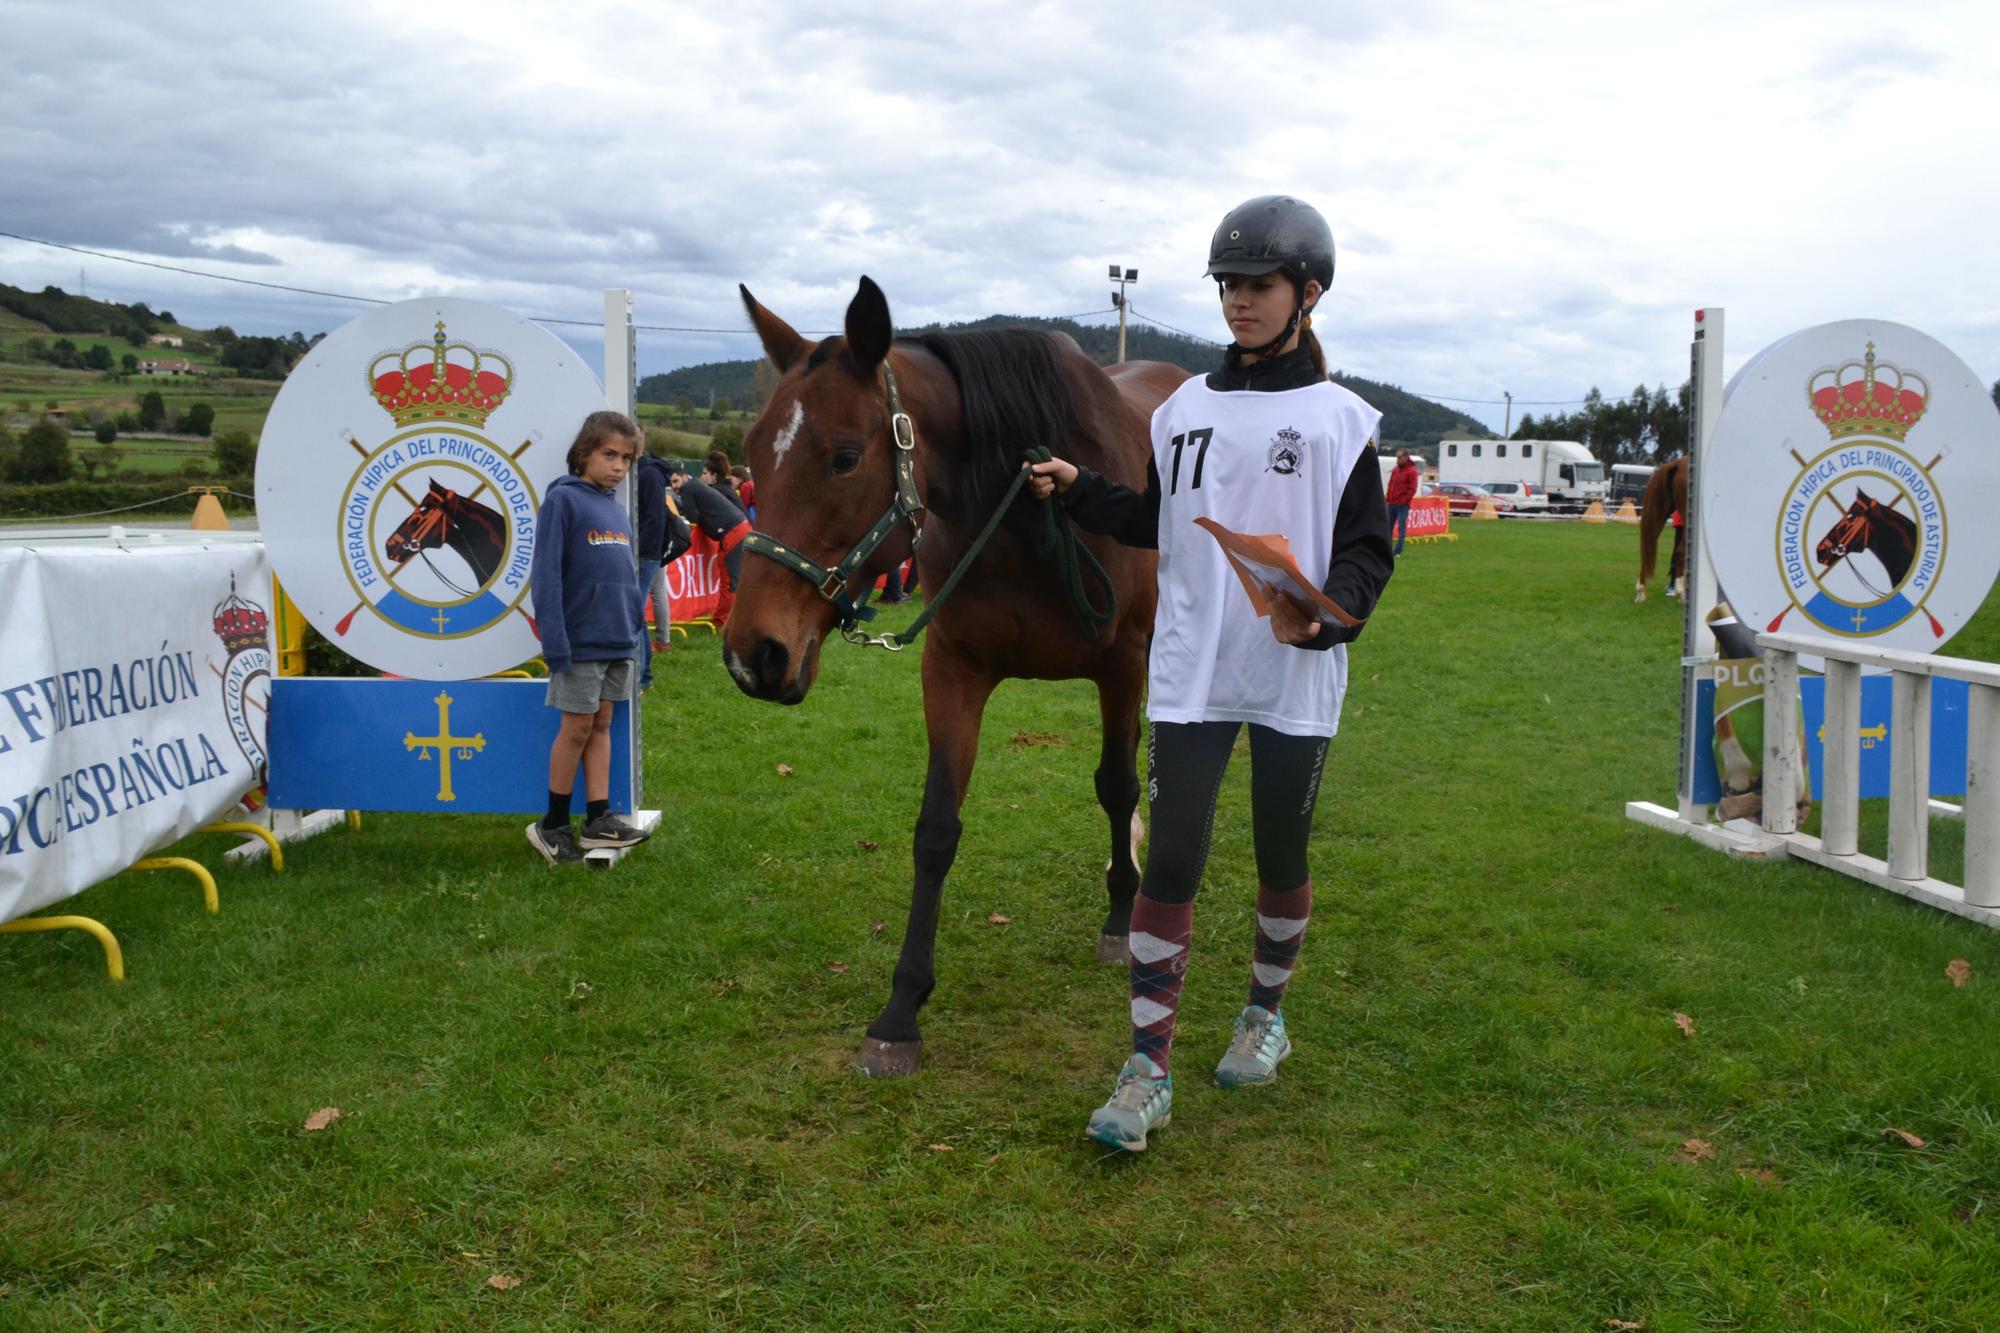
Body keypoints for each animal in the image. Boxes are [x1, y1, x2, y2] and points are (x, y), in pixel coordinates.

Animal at [728, 274, 1184, 1072]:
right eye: (753, 449)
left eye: (844, 456)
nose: (754, 653)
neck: (1030, 512)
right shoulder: (952, 668)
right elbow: (936, 829)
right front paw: (901, 1010)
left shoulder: (1122, 663)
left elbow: (1115, 784)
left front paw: (1122, 915)